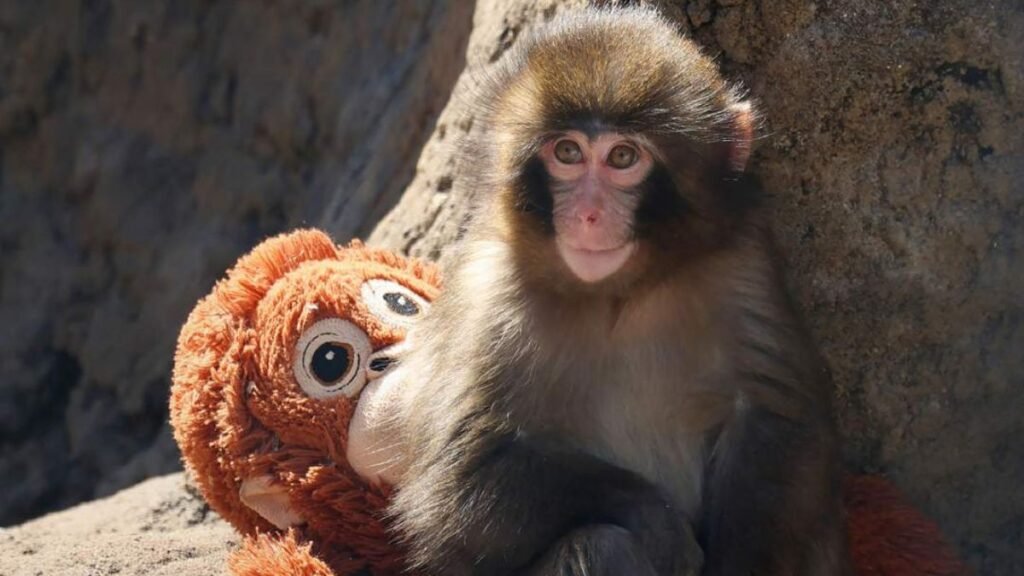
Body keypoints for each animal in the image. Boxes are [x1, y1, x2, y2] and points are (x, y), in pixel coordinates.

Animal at [365, 7, 852, 576]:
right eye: (568, 152)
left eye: (622, 157)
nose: (588, 214)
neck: (619, 294)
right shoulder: (488, 295)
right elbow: (458, 485)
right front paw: (656, 519)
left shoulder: (742, 263)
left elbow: (777, 421)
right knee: (601, 545)